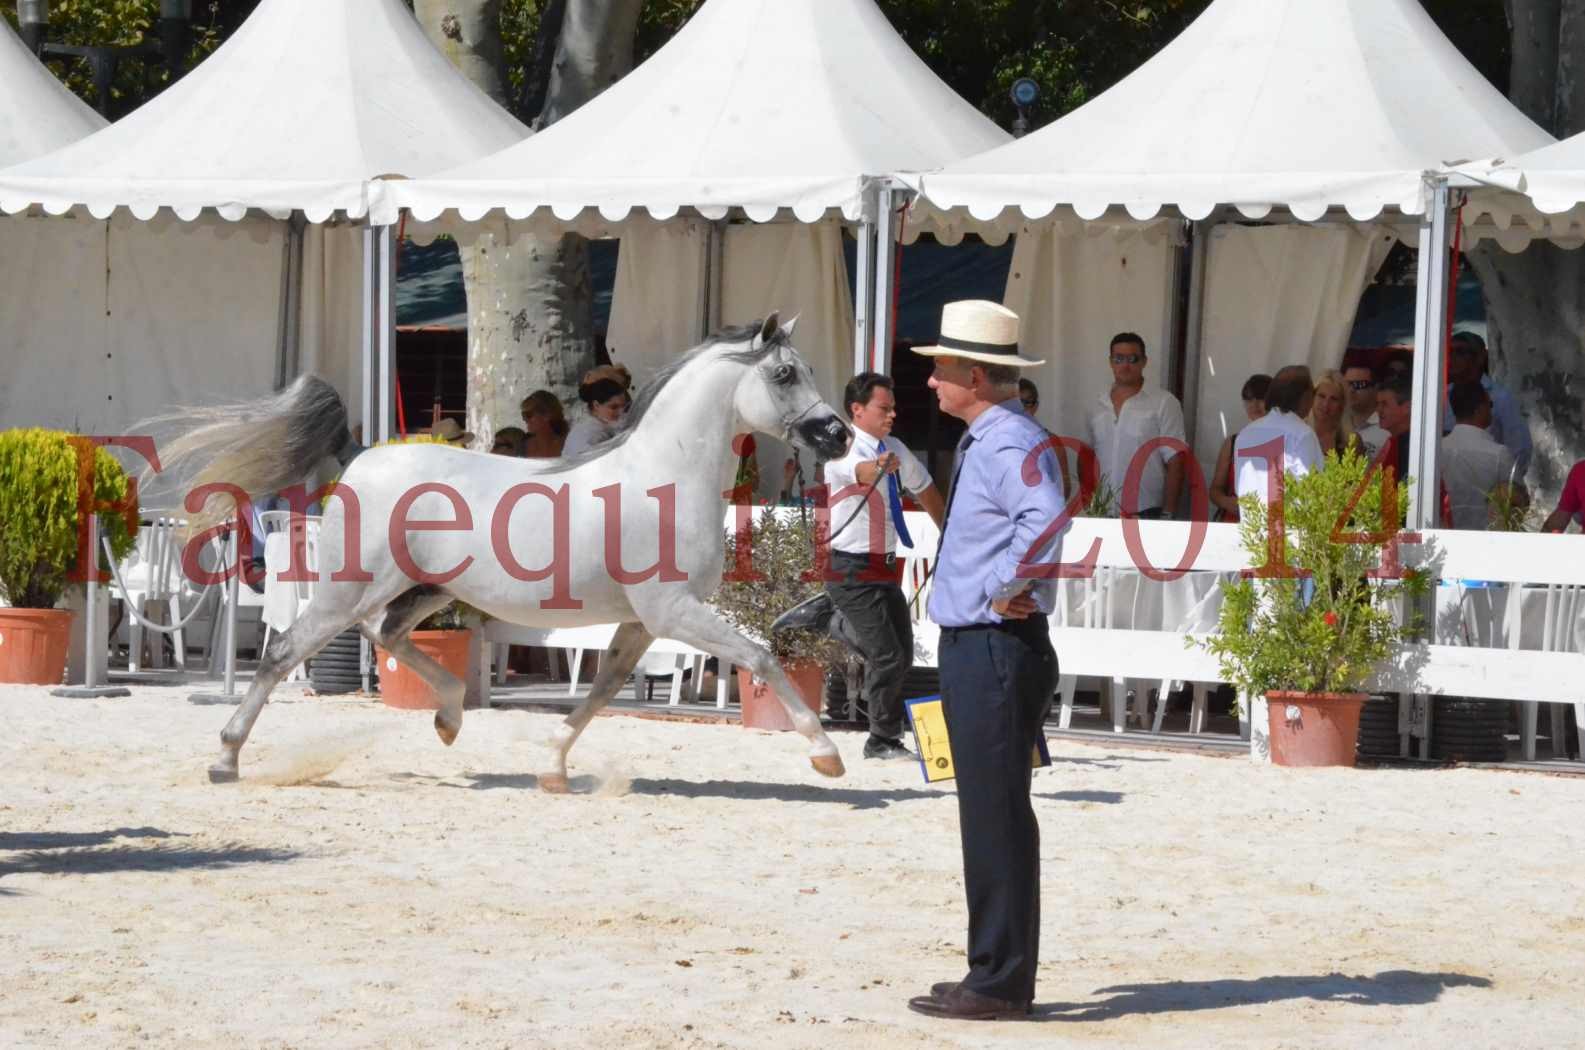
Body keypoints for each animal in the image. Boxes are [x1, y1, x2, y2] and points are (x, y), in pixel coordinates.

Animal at [157, 317, 855, 793]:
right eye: (785, 374)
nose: (839, 435)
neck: (664, 476)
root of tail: (360, 459)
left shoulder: (639, 622)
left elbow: (601, 690)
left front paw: (553, 769)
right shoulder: (673, 611)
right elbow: (759, 655)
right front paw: (826, 753)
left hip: (425, 590)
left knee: (389, 636)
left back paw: (448, 718)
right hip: (347, 591)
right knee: (284, 653)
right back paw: (225, 758)